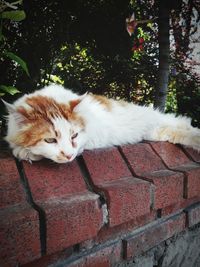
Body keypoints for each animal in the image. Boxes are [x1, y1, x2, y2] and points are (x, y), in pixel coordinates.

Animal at [2, 84, 200, 163]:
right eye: (50, 140)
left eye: (74, 135)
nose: (68, 156)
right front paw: (23, 151)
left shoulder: (91, 136)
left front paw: (25, 152)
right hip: (157, 131)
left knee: (185, 124)